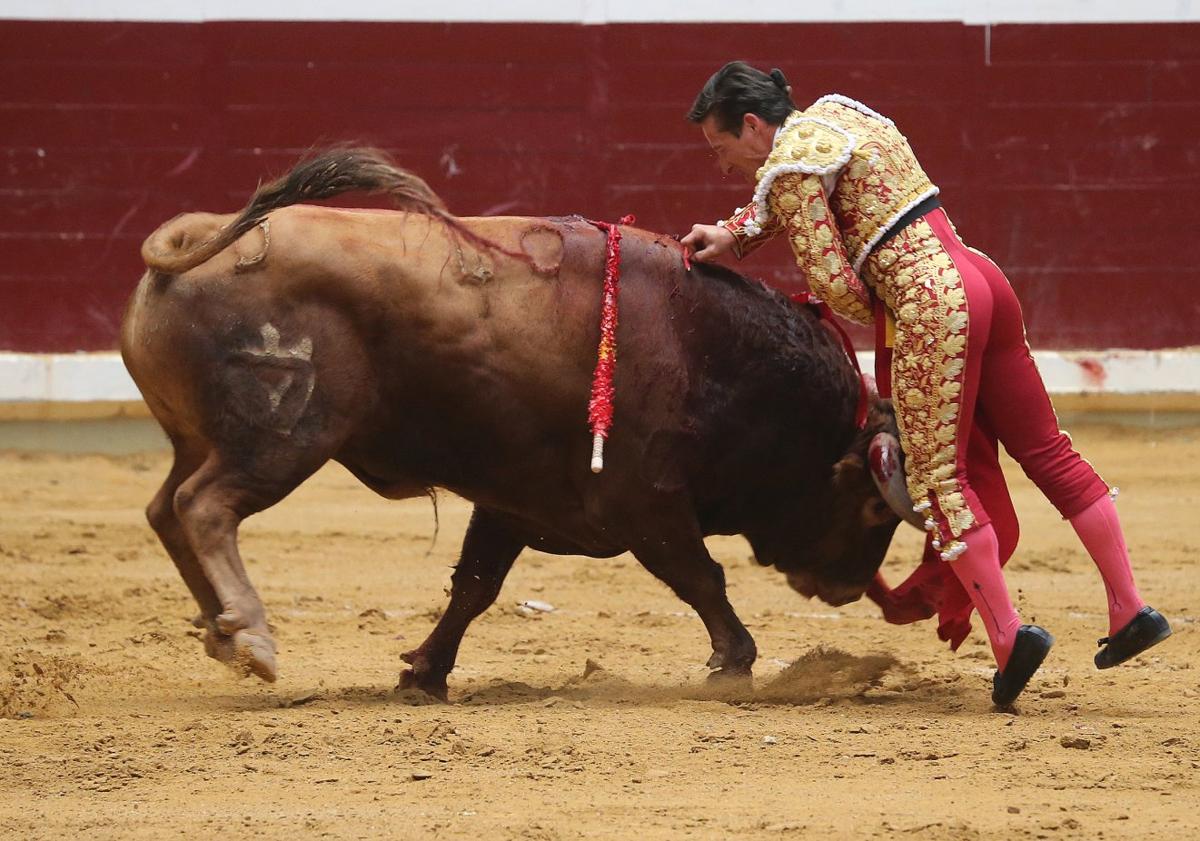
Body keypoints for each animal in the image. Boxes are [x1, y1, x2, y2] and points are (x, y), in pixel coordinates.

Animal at [121, 147, 921, 700]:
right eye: (874, 507)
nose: (849, 587)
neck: (713, 353)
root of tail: (194, 240)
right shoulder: (647, 502)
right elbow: (701, 577)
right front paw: (735, 662)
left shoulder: (513, 502)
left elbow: (473, 586)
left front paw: (424, 672)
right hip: (284, 438)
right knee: (203, 506)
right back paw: (252, 636)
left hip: (204, 438)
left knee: (164, 509)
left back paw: (221, 630)